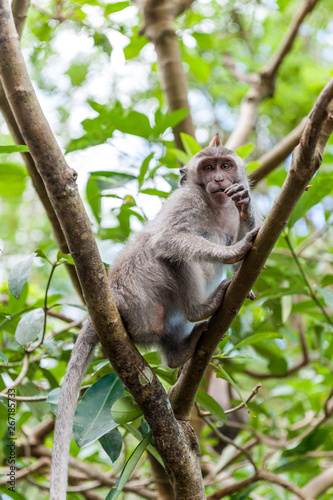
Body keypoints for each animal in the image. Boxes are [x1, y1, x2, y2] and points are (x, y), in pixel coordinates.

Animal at [49, 134, 260, 500]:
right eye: (208, 168)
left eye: (225, 165)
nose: (220, 179)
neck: (215, 205)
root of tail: (113, 297)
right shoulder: (187, 201)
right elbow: (169, 239)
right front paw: (233, 251)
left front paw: (246, 205)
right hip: (140, 297)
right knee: (168, 252)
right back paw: (201, 308)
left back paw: (179, 352)